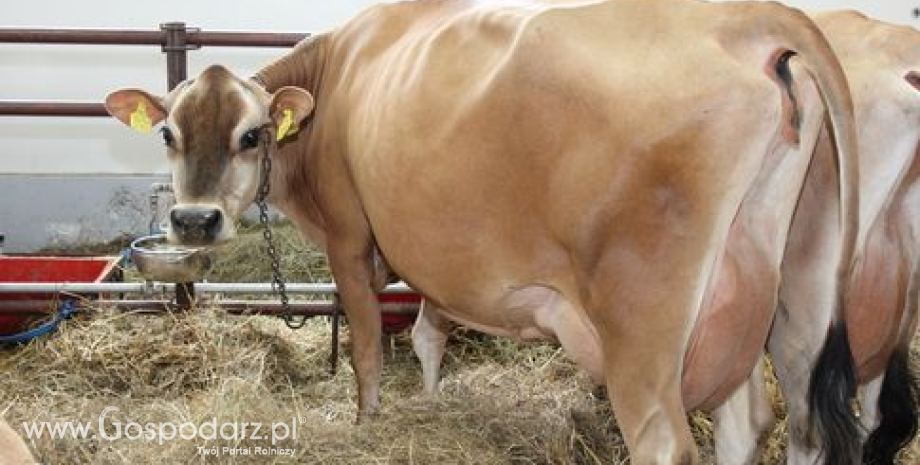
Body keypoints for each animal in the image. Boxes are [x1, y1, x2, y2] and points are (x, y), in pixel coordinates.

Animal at [102, 1, 864, 462]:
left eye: (252, 134)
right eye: (168, 133)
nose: (193, 219)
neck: (339, 77)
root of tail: (745, 17)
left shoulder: (350, 239)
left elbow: (369, 351)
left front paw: (367, 424)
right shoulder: (440, 255)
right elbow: (428, 332)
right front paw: (434, 402)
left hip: (644, 317)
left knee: (662, 438)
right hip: (747, 294)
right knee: (749, 420)